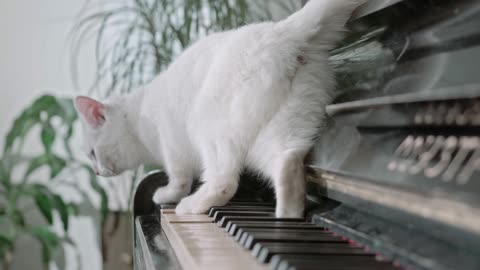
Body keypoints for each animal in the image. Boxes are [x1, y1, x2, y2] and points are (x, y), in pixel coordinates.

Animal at [74, 0, 364, 217]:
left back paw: (190, 205)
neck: (137, 118)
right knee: (288, 163)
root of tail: (284, 31)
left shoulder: (172, 147)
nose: (96, 172)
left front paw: (167, 195)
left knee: (224, 181)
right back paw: (287, 218)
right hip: (281, 128)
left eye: (92, 153)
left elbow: (178, 178)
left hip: (211, 129)